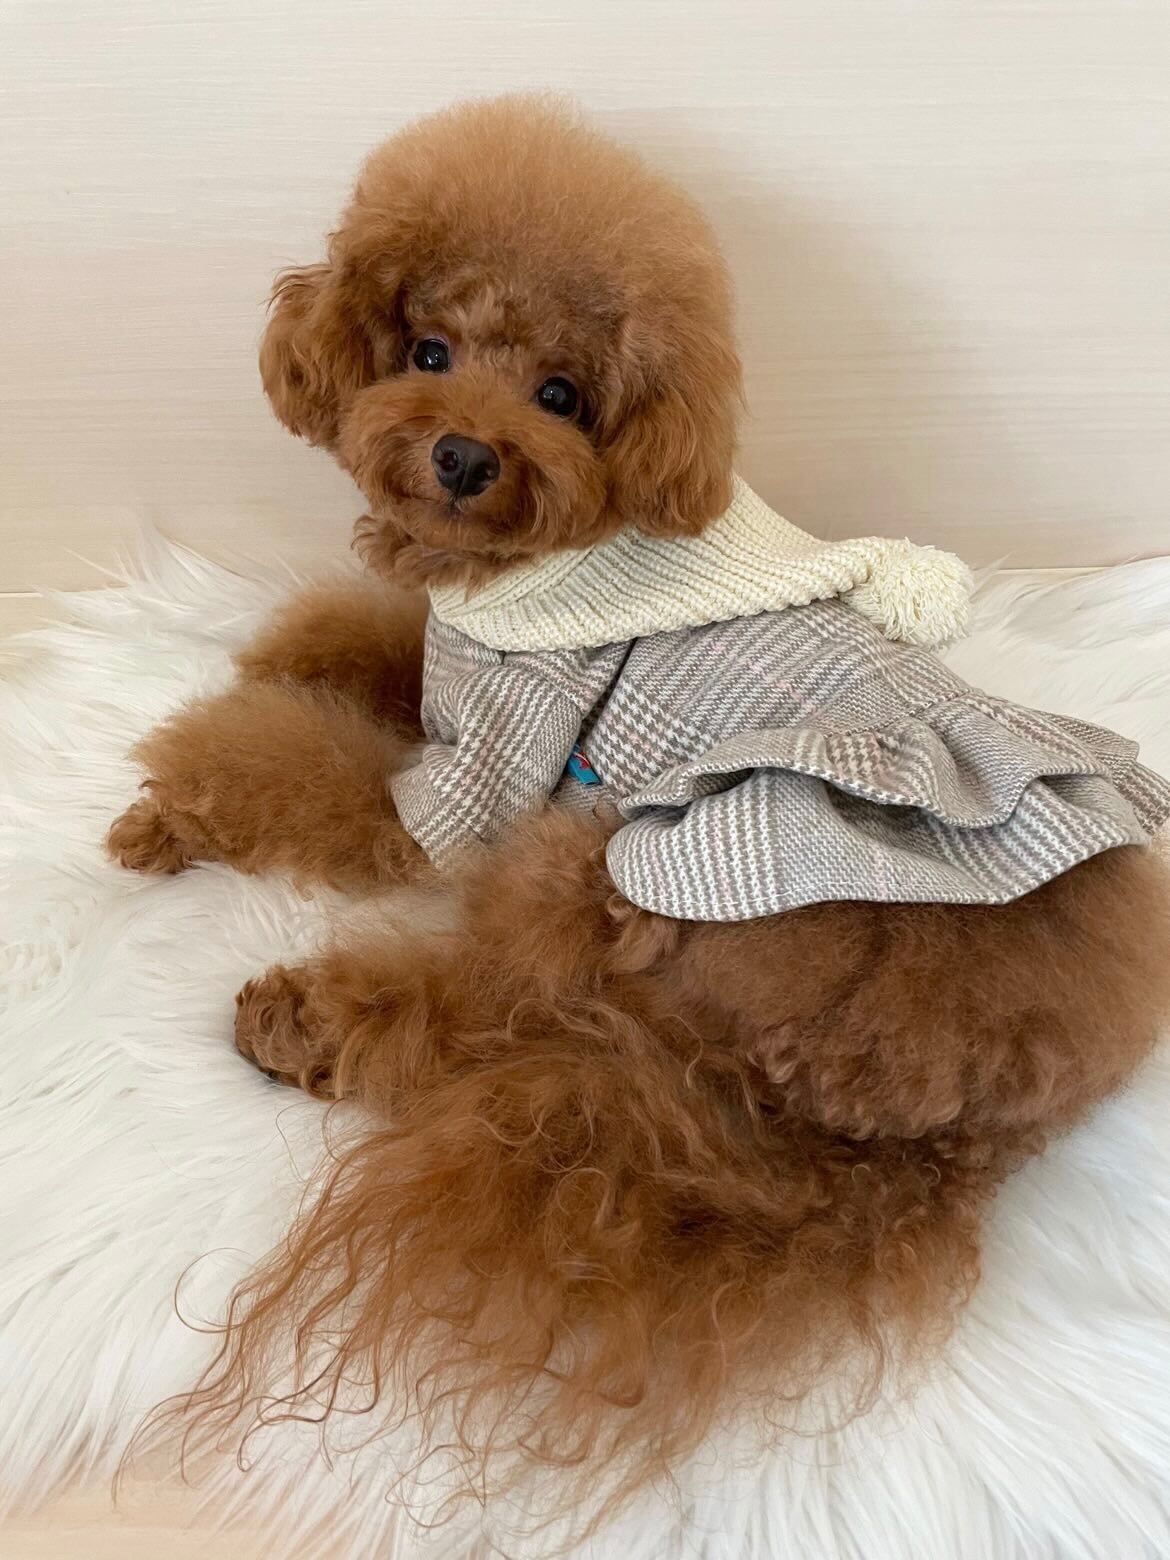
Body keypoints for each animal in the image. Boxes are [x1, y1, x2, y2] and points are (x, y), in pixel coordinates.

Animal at [108, 96, 1170, 1522]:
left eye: (562, 396)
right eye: (429, 349)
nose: (462, 455)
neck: (555, 557)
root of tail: (979, 1111)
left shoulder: (481, 780)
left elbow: (299, 771)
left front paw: (169, 805)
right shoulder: (449, 671)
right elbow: (363, 646)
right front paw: (287, 653)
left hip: (637, 867)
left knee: (502, 1011)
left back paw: (302, 1024)